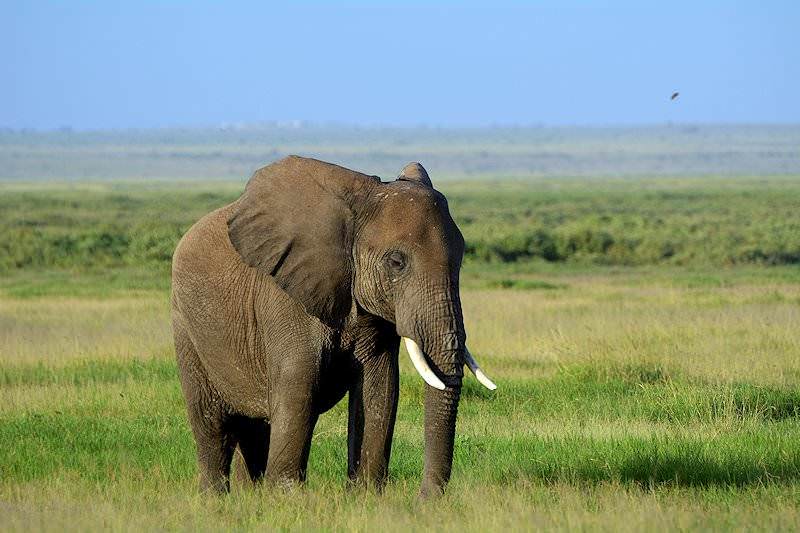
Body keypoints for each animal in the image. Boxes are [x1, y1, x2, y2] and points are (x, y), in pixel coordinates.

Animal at [170, 155, 495, 498]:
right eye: (396, 262)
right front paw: (288, 498)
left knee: (254, 428)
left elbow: (379, 387)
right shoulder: (285, 296)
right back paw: (215, 499)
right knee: (211, 423)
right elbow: (298, 382)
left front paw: (366, 496)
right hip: (186, 324)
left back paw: (250, 494)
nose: (425, 499)